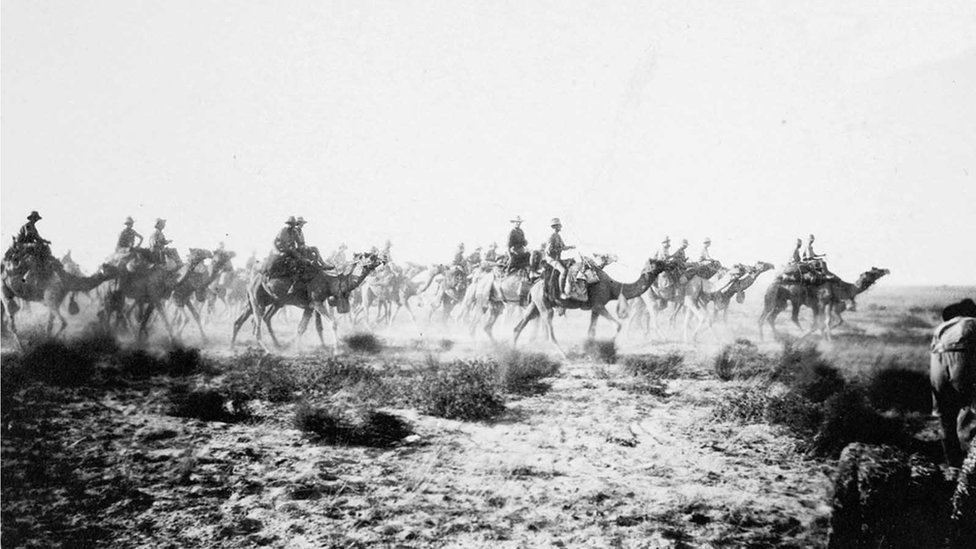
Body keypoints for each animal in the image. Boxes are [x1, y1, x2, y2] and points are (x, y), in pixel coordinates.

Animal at [230, 252, 385, 355]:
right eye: (370, 256)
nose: (384, 259)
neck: (329, 282)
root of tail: (251, 279)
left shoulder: (310, 306)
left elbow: (302, 328)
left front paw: (297, 348)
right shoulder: (317, 302)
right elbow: (333, 323)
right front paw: (336, 351)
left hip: (263, 301)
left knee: (243, 320)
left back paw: (234, 347)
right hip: (258, 301)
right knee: (256, 324)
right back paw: (268, 350)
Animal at [512, 258, 672, 356]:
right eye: (658, 262)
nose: (670, 263)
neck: (613, 287)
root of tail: (534, 285)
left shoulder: (595, 308)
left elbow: (591, 332)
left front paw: (589, 349)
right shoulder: (600, 305)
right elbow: (618, 325)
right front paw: (610, 345)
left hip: (535, 303)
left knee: (520, 324)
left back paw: (512, 350)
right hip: (544, 305)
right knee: (548, 324)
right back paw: (564, 354)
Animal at [758, 267, 890, 341]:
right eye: (873, 272)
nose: (887, 270)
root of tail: (772, 282)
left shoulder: (828, 303)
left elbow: (827, 321)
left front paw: (827, 337)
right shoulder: (821, 303)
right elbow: (820, 323)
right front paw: (825, 340)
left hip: (783, 301)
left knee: (772, 317)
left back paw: (778, 337)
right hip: (772, 296)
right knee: (763, 317)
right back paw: (763, 339)